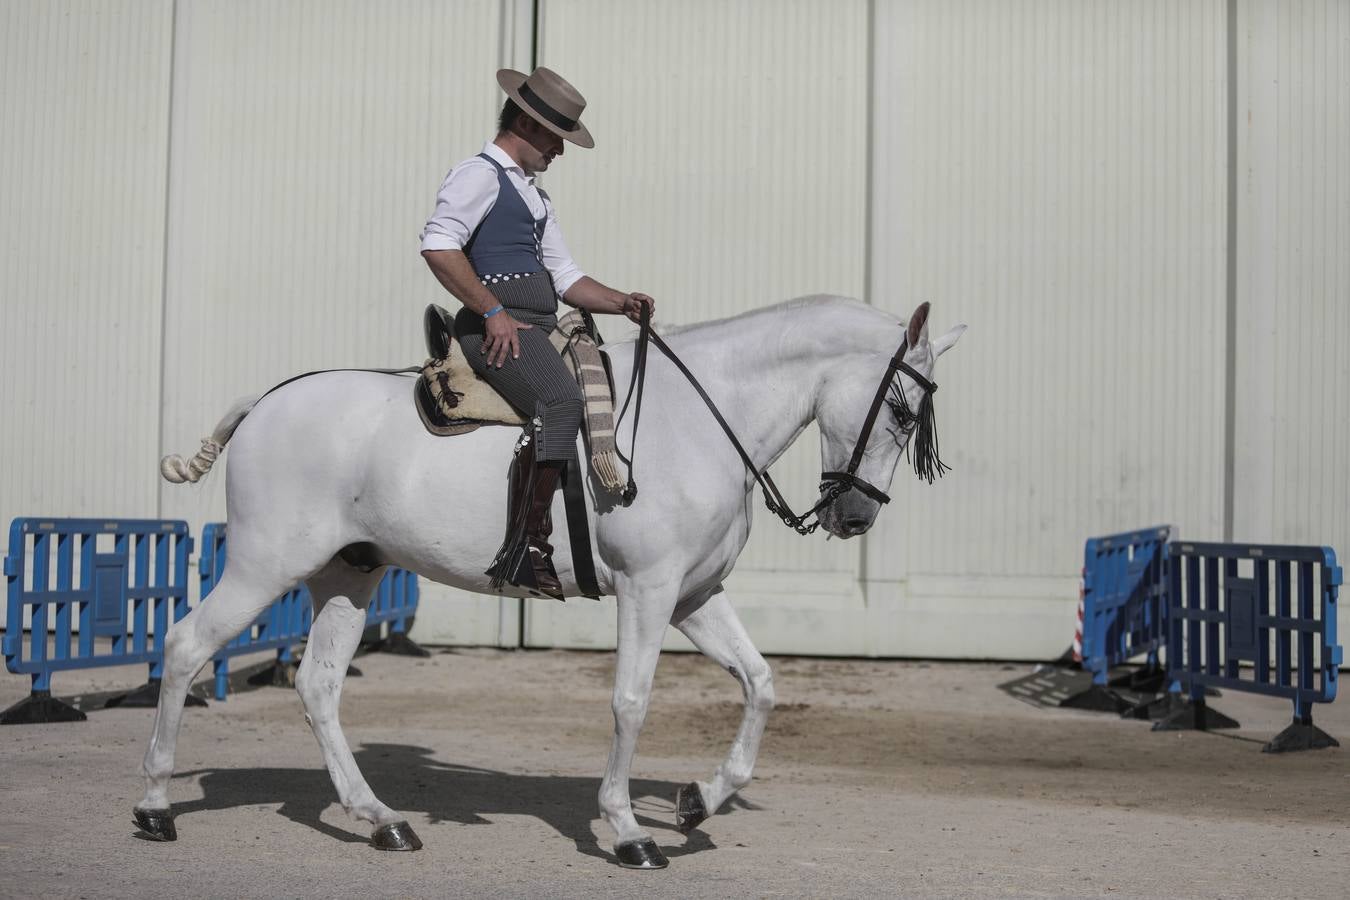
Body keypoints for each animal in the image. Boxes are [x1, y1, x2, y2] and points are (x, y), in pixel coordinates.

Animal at [135, 294, 965, 869]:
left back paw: (381, 819)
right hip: (264, 566)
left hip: (349, 574)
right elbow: (631, 703)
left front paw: (700, 798)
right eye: (901, 412)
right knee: (184, 648)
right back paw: (154, 806)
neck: (698, 421)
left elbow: (760, 683)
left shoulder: (695, 596)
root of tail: (267, 402)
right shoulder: (648, 593)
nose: (855, 514)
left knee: (318, 685)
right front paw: (628, 830)